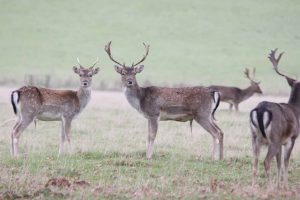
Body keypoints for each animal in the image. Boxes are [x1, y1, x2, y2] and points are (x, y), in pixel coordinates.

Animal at [251, 49, 300, 188]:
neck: (296, 110)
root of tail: (260, 109)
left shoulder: (282, 141)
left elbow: (278, 162)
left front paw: (279, 185)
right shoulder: (291, 138)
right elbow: (285, 162)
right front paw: (285, 186)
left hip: (255, 137)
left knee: (255, 162)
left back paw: (253, 186)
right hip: (274, 137)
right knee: (266, 161)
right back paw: (269, 187)